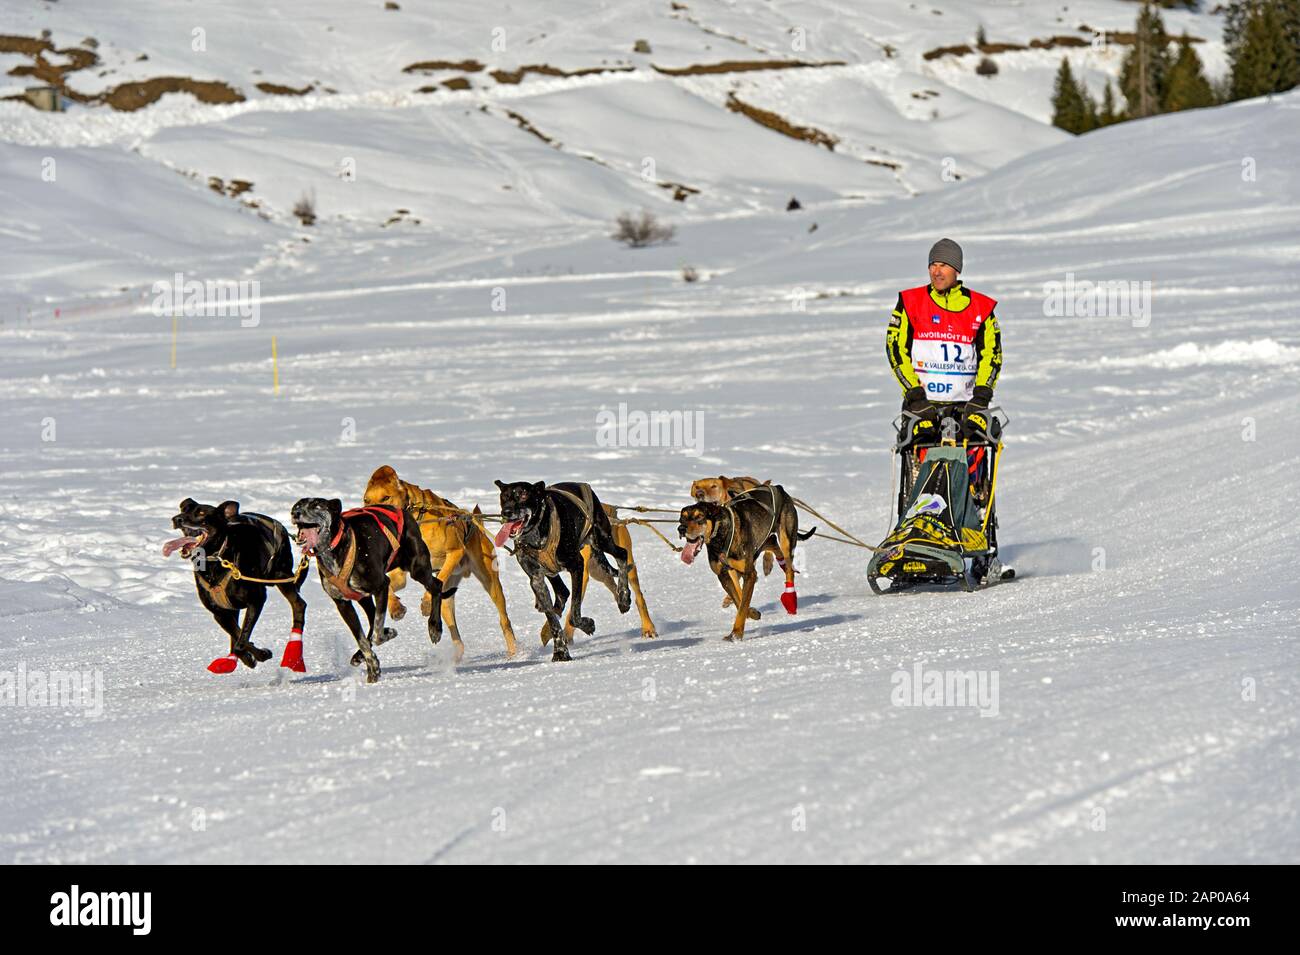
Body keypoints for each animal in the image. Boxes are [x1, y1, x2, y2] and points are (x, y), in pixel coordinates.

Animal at [163, 501, 308, 670]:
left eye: (201, 513)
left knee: (299, 604)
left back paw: (294, 646)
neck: (216, 560)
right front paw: (250, 657)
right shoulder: (220, 612)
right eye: (184, 509)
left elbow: (242, 641)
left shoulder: (256, 601)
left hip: (280, 575)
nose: (177, 519)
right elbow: (239, 636)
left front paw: (261, 654)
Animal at [288, 496, 441, 686]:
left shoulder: (382, 586)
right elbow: (362, 639)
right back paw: (359, 655)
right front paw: (373, 667)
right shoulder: (343, 603)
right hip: (364, 597)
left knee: (437, 585)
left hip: (417, 568)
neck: (335, 548)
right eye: (297, 505)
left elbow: (376, 635)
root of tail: (402, 511)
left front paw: (386, 635)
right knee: (371, 618)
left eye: (316, 505)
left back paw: (435, 627)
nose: (295, 513)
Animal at [491, 480, 629, 660]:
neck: (537, 533)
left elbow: (575, 615)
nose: (506, 512)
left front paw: (587, 625)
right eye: (504, 497)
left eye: (523, 495)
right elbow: (552, 620)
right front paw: (560, 651)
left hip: (601, 540)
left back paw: (624, 598)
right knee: (562, 592)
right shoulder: (536, 580)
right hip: (553, 571)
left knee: (622, 555)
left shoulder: (577, 566)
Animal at [681, 485, 811, 641]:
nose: (681, 529)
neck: (721, 536)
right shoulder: (723, 575)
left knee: (789, 570)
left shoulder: (750, 573)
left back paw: (790, 599)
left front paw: (736, 633)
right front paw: (752, 613)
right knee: (772, 543)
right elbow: (739, 599)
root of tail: (778, 488)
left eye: (699, 516)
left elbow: (742, 605)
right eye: (682, 518)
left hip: (786, 538)